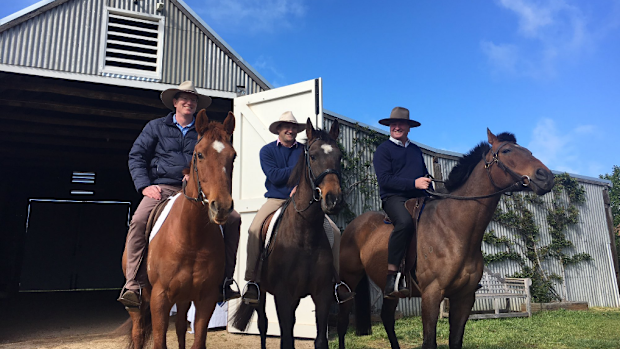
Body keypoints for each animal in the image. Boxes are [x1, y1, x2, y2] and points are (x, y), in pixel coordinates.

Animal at [122, 109, 236, 348]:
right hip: (139, 302)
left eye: (233, 156)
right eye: (199, 154)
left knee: (182, 328)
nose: (221, 207)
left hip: (184, 298)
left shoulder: (206, 298)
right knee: (138, 332)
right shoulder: (160, 298)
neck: (191, 238)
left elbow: (197, 341)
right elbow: (159, 342)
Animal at [232, 118, 344, 346]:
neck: (305, 234)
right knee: (263, 325)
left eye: (339, 157)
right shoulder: (284, 297)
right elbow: (286, 340)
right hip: (261, 293)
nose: (334, 200)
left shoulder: (322, 295)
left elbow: (320, 340)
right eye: (313, 156)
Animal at [336, 129, 556, 346]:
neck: (453, 228)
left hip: (389, 291)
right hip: (349, 282)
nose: (546, 176)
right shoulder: (432, 295)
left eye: (527, 150)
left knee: (387, 319)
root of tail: (353, 226)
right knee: (343, 322)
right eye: (507, 151)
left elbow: (455, 340)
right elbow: (429, 341)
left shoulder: (464, 298)